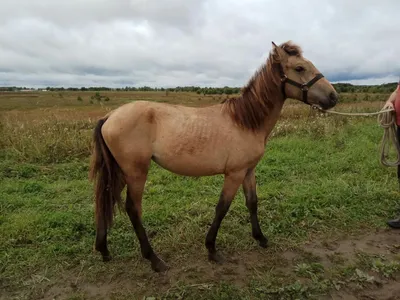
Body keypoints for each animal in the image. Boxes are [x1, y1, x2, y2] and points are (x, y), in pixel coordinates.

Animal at [89, 39, 340, 272]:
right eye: (299, 68)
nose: (333, 96)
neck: (246, 121)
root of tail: (110, 116)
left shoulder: (248, 171)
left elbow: (252, 203)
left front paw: (260, 238)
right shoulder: (234, 173)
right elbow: (222, 207)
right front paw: (211, 249)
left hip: (121, 172)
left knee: (105, 200)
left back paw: (104, 250)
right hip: (136, 173)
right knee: (133, 209)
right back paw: (154, 260)